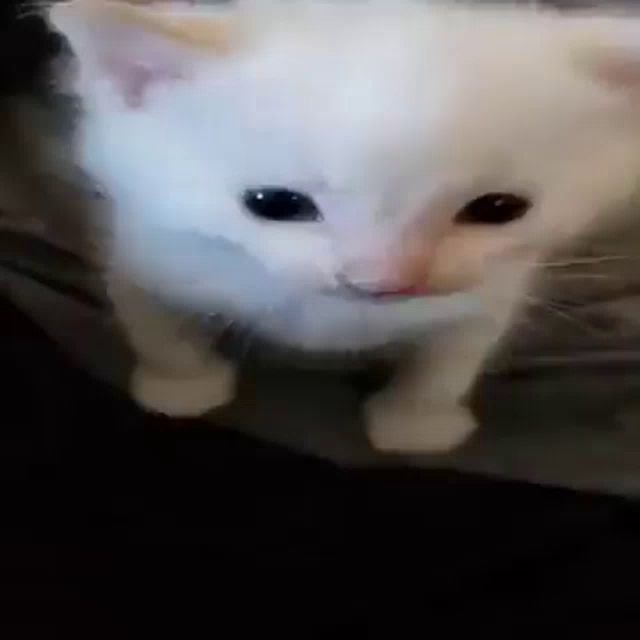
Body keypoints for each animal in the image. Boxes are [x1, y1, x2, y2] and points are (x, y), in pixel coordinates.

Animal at [51, 0, 640, 452]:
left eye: (498, 208)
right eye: (273, 203)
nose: (382, 281)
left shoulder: (494, 285)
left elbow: (454, 352)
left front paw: (416, 421)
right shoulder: (148, 242)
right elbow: (153, 324)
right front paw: (182, 387)